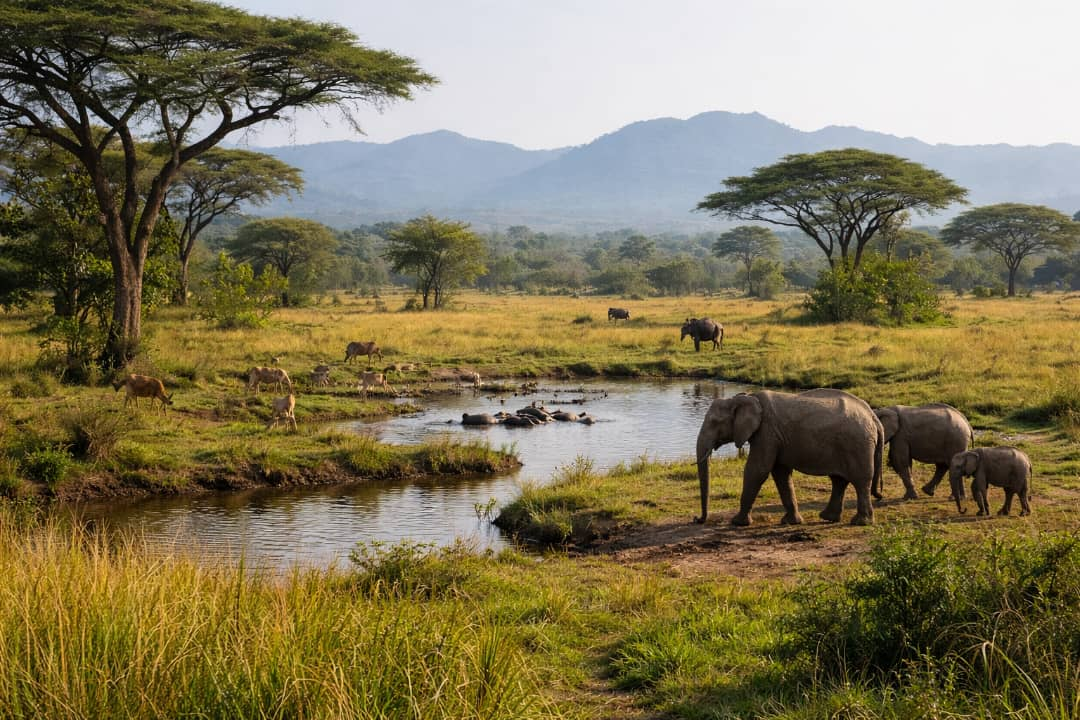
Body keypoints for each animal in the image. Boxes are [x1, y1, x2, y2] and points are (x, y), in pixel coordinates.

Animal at [695, 388, 883, 526]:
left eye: (714, 422)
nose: (697, 519)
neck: (745, 397)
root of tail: (874, 417)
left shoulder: (767, 432)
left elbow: (757, 470)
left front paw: (738, 523)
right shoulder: (775, 437)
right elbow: (780, 473)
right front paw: (791, 522)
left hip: (858, 444)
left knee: (860, 480)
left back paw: (860, 522)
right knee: (839, 480)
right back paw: (828, 518)